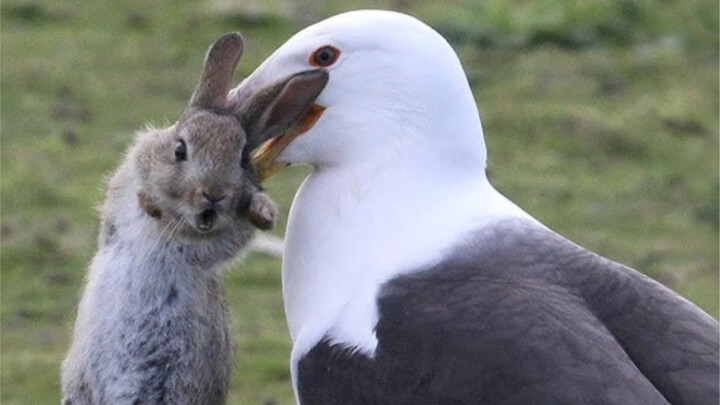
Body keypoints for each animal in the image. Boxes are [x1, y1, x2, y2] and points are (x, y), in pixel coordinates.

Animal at [60, 32, 328, 405]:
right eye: (180, 150)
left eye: (242, 157)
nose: (213, 193)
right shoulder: (126, 190)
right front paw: (151, 204)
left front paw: (261, 210)